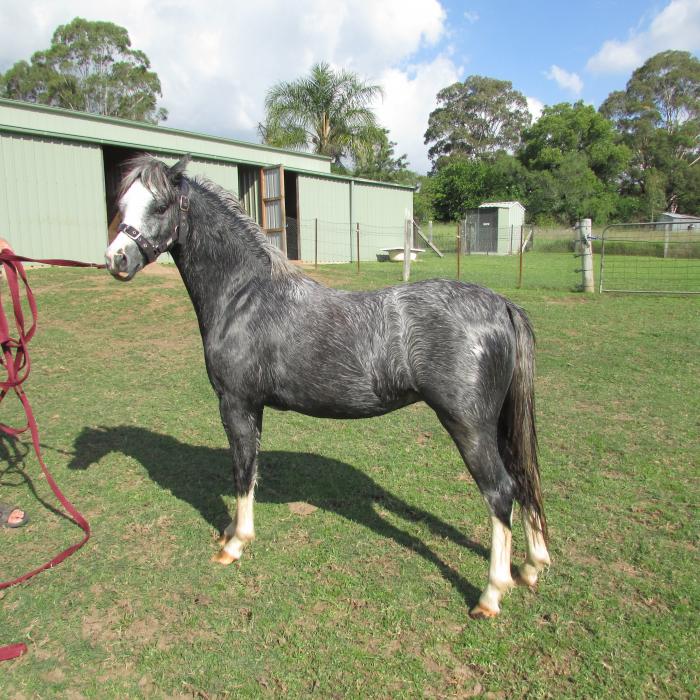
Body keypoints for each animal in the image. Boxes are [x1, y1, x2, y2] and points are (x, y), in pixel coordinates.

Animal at [104, 154, 551, 618]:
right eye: (122, 203)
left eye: (160, 206)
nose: (116, 259)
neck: (245, 296)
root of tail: (501, 305)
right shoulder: (252, 407)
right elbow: (252, 468)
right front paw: (231, 530)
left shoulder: (236, 403)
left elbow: (242, 470)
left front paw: (235, 543)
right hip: (496, 423)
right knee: (523, 478)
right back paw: (532, 566)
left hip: (468, 426)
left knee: (500, 492)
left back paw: (491, 594)